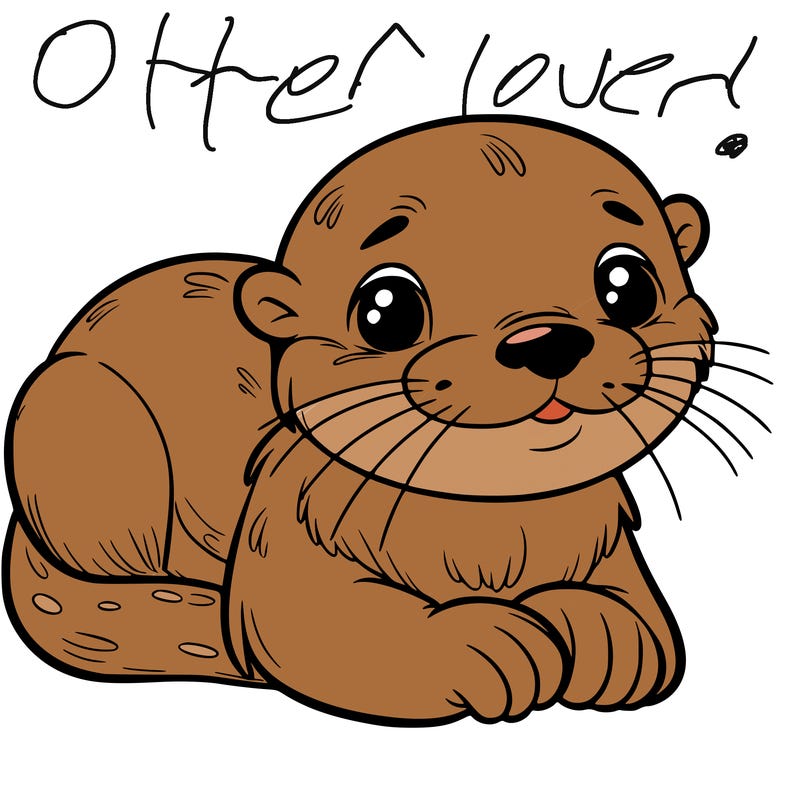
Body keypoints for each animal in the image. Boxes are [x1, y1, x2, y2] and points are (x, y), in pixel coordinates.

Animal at [3, 116, 715, 724]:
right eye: (386, 309)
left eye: (628, 283)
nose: (545, 340)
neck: (489, 529)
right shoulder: (287, 525)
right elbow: (313, 626)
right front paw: (482, 643)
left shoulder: (606, 537)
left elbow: (645, 622)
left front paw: (601, 629)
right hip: (80, 411)